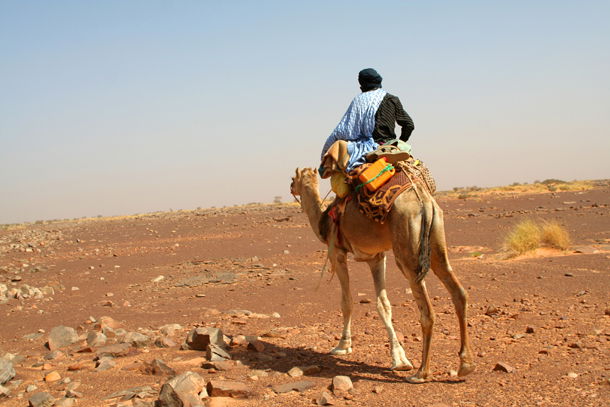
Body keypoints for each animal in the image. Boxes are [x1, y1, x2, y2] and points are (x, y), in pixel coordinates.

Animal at [290, 167, 476, 384]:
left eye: (293, 179)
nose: (291, 187)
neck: (323, 220)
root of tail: (424, 202)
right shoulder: (377, 257)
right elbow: (383, 305)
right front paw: (400, 358)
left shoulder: (337, 253)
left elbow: (347, 302)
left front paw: (342, 346)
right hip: (436, 241)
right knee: (458, 292)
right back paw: (465, 365)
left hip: (407, 252)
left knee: (427, 311)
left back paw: (421, 373)